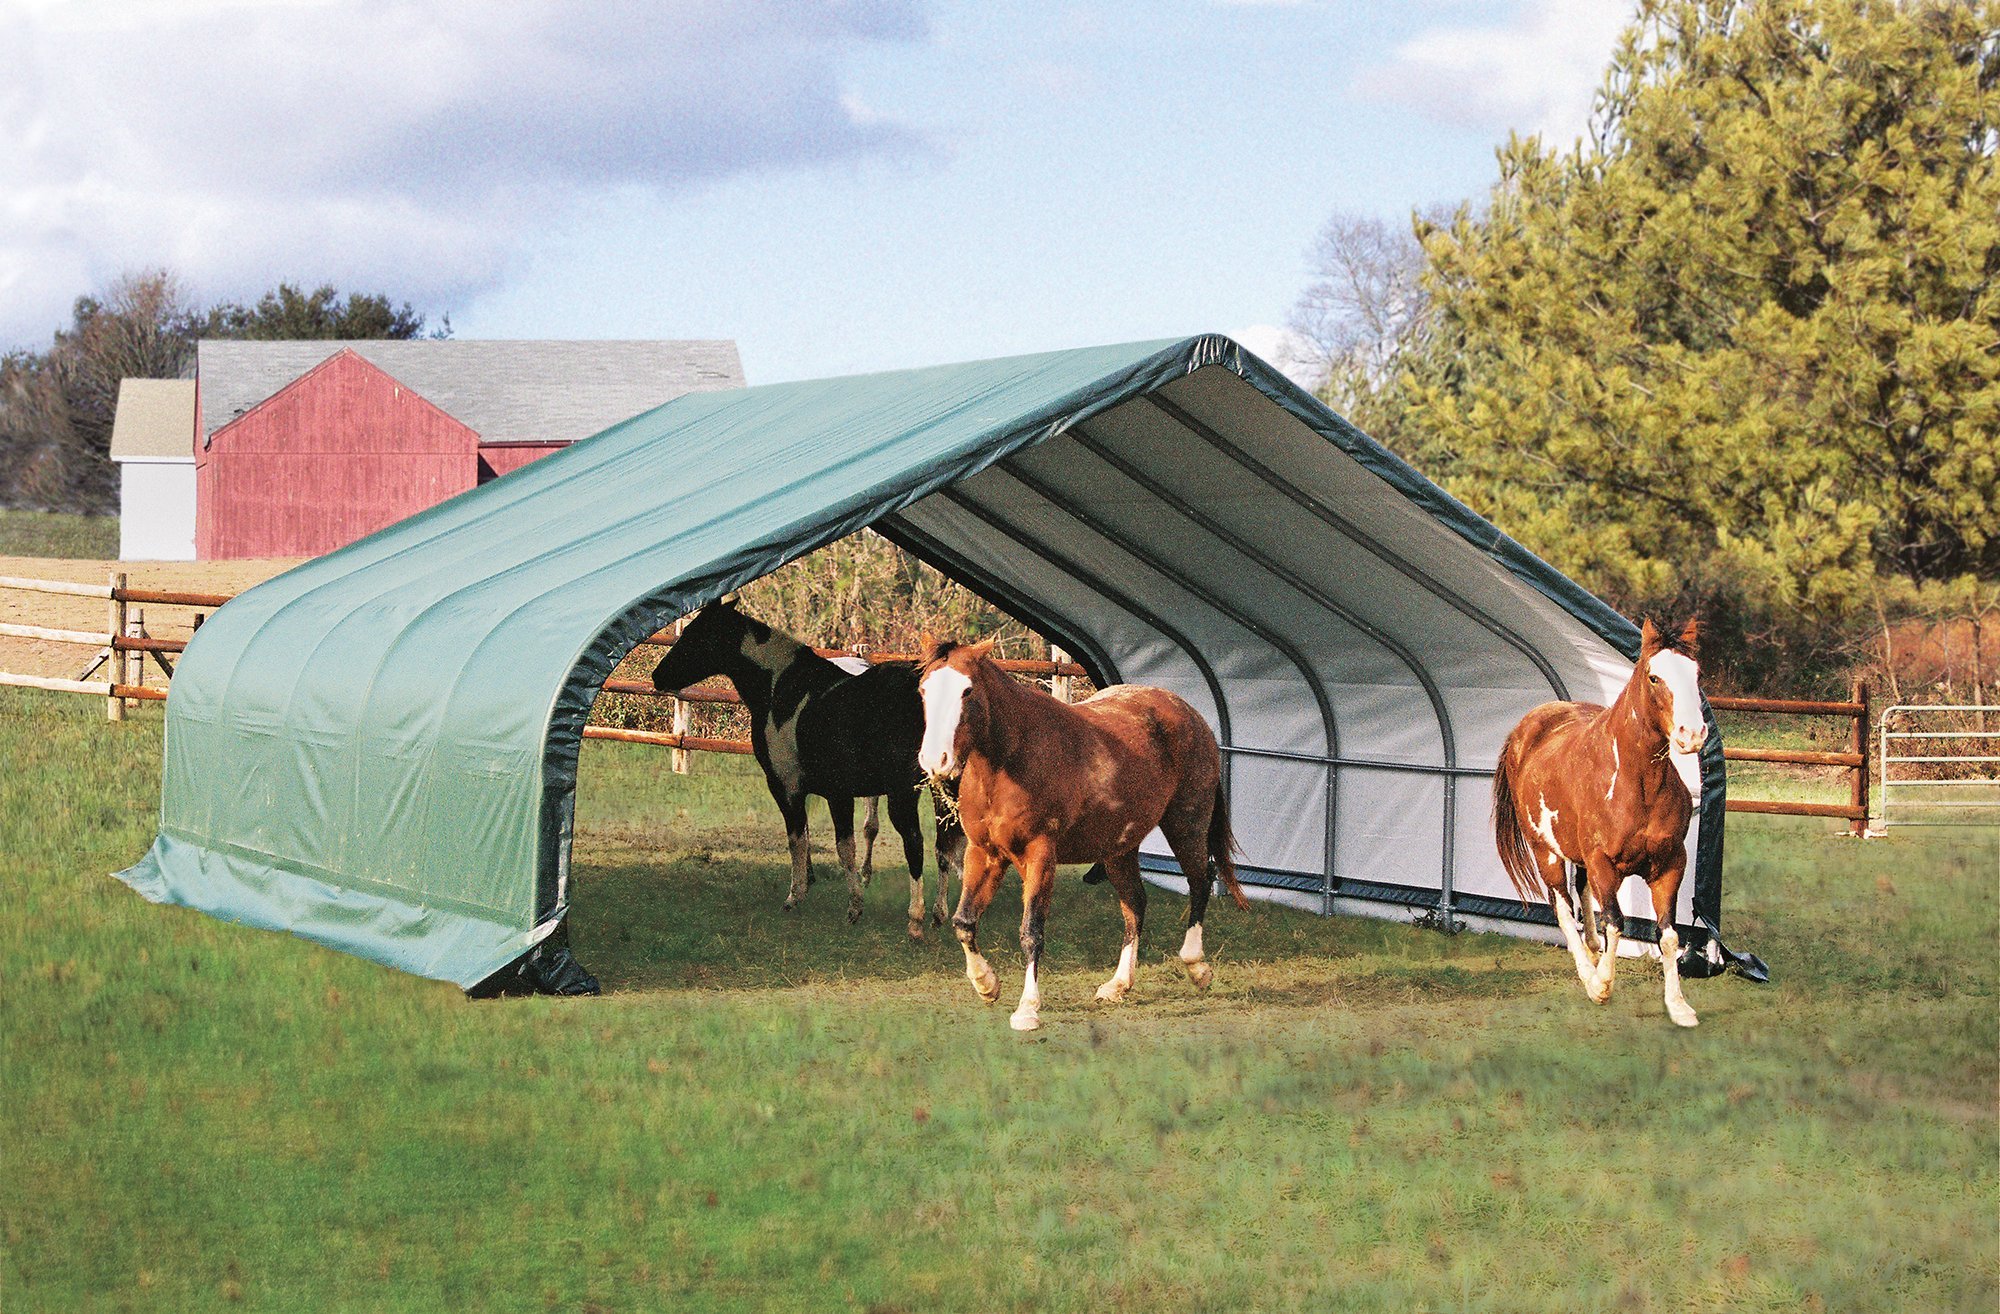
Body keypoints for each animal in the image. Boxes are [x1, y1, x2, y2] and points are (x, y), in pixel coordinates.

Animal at [648, 600, 960, 936]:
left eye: (696, 635)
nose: (657, 676)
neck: (784, 690)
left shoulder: (789, 787)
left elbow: (804, 840)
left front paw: (803, 898)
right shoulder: (835, 793)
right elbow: (834, 844)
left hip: (903, 793)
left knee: (916, 843)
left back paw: (916, 920)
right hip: (942, 790)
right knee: (944, 844)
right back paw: (939, 914)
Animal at [916, 640, 1240, 1032]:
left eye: (967, 691)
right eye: (923, 690)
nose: (935, 760)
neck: (1010, 760)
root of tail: (1189, 713)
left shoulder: (1041, 855)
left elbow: (1031, 932)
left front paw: (1027, 1009)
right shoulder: (985, 853)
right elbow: (964, 922)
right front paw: (986, 985)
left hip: (1186, 825)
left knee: (1200, 881)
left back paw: (1197, 968)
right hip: (1119, 849)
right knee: (1136, 905)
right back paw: (1118, 985)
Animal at [1496, 620, 1712, 1032]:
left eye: (1696, 674)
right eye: (1654, 676)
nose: (1691, 735)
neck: (1637, 782)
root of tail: (1525, 729)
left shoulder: (1670, 865)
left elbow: (1668, 936)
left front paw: (1678, 1007)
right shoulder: (1603, 864)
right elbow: (1615, 921)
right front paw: (1601, 986)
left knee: (1581, 894)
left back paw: (1594, 951)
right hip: (1547, 854)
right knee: (1564, 909)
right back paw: (1588, 970)